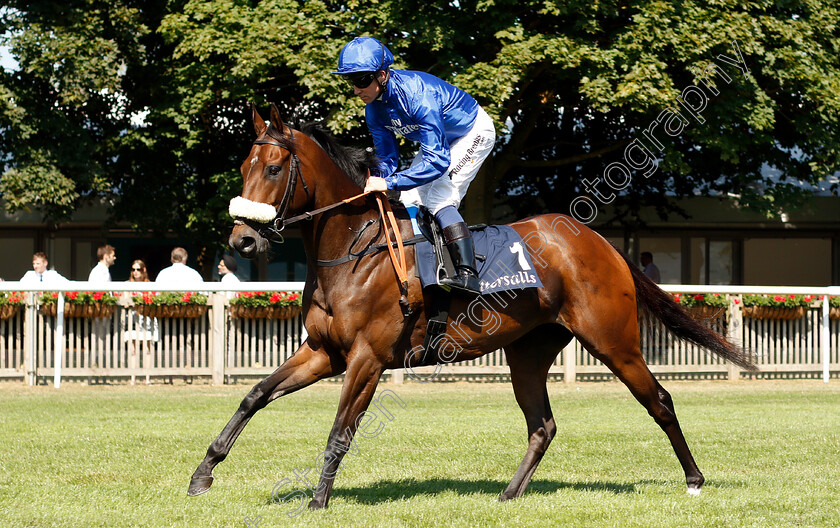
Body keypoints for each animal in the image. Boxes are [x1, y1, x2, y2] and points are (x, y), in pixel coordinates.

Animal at [189, 101, 756, 510]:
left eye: (274, 167)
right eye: (243, 165)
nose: (242, 240)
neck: (354, 248)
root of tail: (602, 243)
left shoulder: (367, 359)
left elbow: (340, 432)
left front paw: (317, 502)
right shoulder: (324, 352)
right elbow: (255, 396)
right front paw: (202, 473)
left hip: (614, 341)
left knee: (659, 400)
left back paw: (694, 479)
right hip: (528, 351)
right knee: (542, 426)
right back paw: (508, 494)